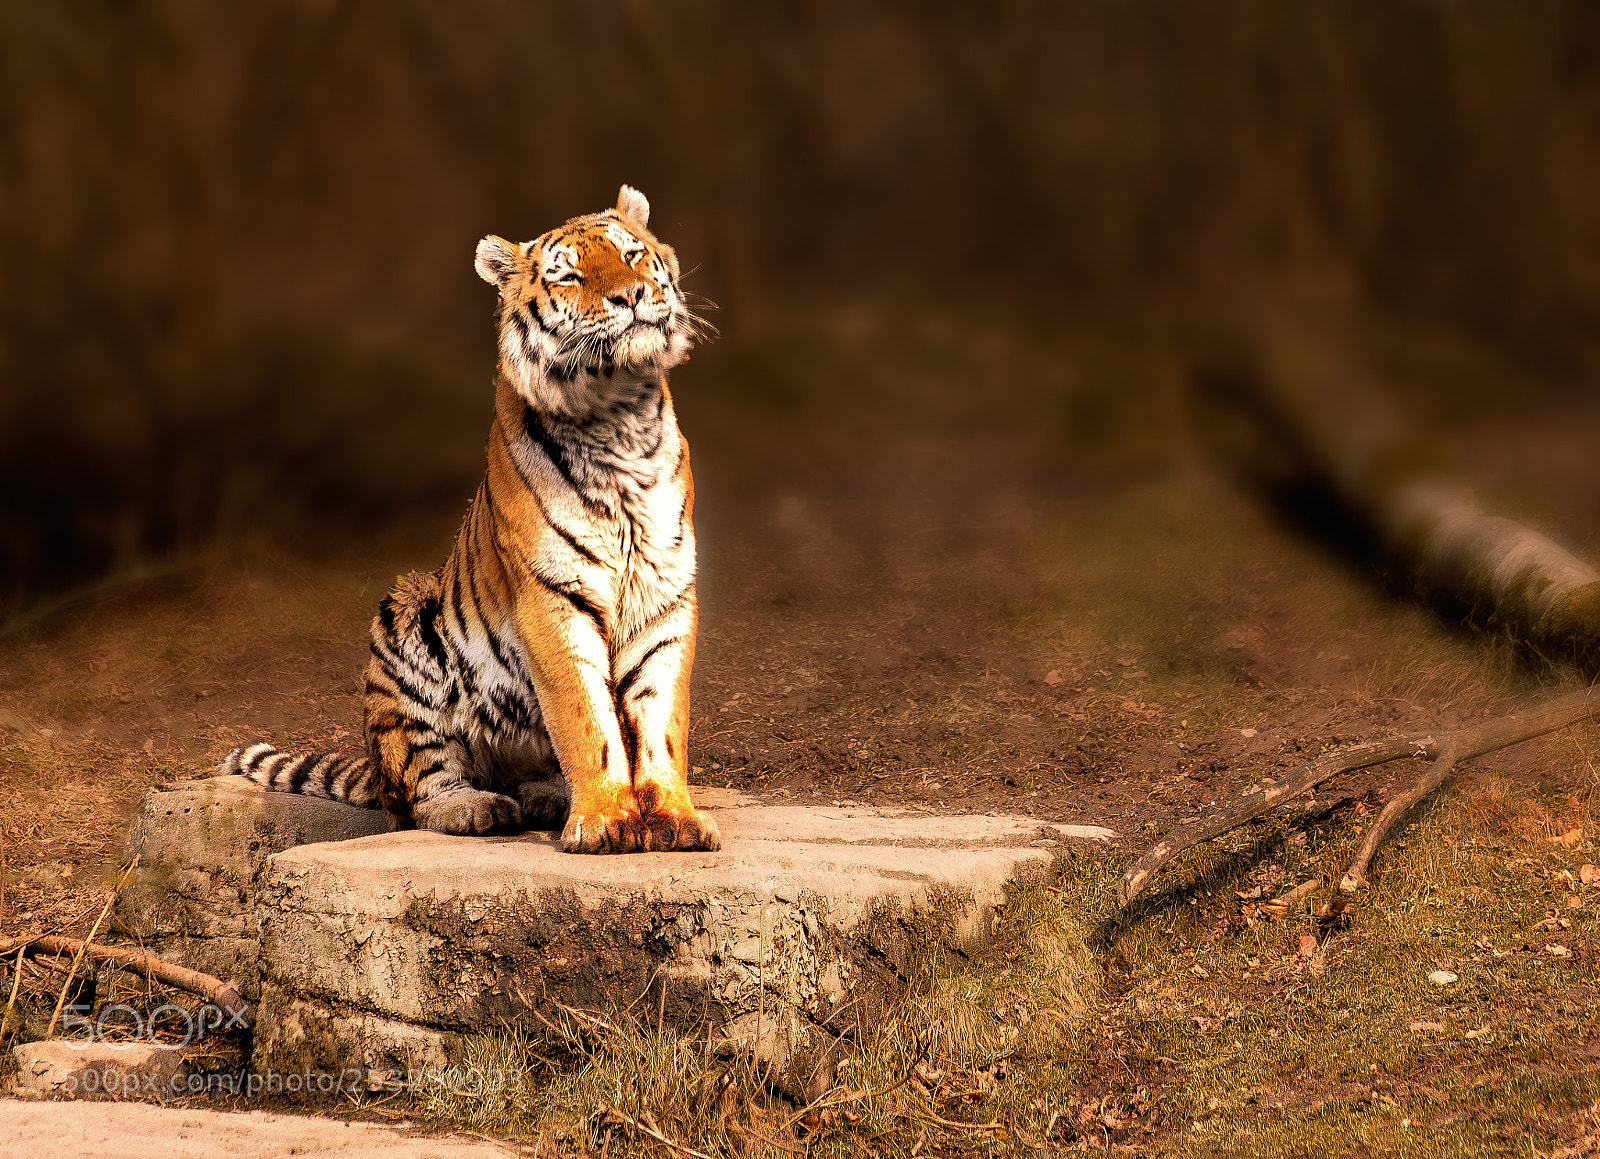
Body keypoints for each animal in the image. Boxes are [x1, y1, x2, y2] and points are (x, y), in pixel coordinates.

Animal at [219, 186, 720, 854]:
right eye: (568, 274)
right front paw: (605, 821)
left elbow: (661, 720)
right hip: (402, 626)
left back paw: (542, 795)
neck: (619, 415)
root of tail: (374, 769)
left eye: (632, 256)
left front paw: (674, 817)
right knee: (419, 794)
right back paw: (479, 807)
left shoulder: (664, 593)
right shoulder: (552, 597)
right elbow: (585, 719)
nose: (632, 294)